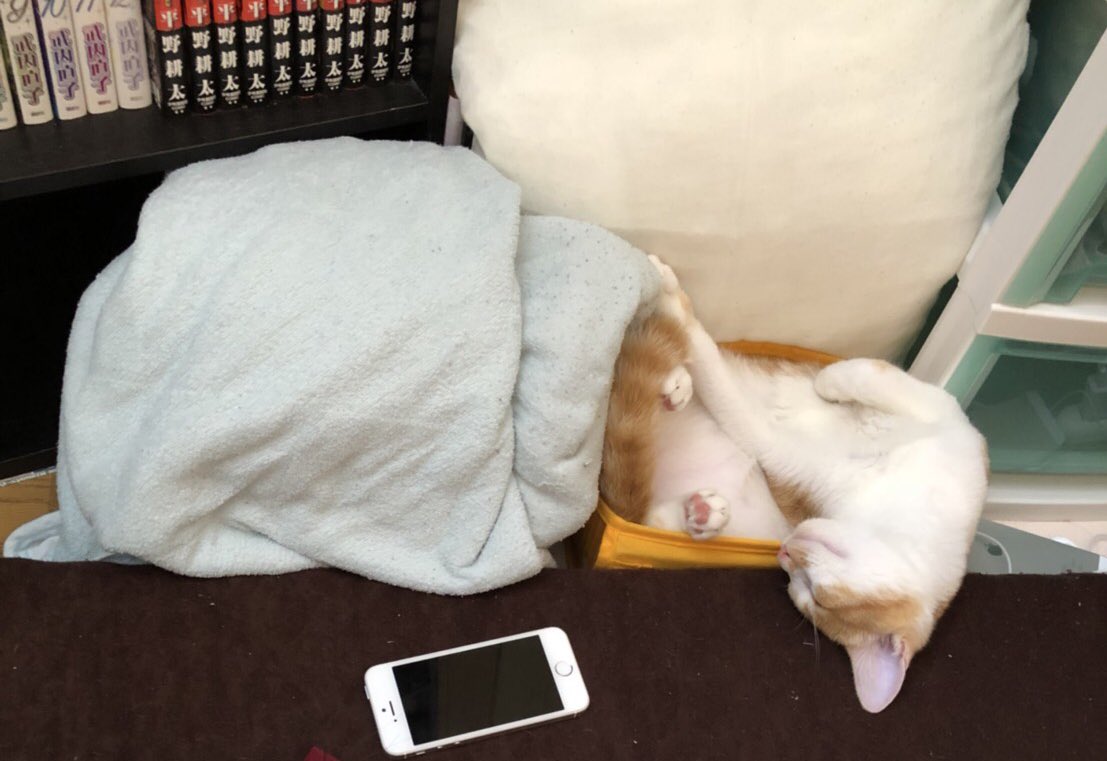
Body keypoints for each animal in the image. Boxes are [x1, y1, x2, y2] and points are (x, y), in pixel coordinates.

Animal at [600, 256, 989, 713]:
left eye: (811, 596)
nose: (785, 553)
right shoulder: (946, 417)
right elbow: (869, 374)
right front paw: (830, 381)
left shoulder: (776, 451)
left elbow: (718, 375)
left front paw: (675, 302)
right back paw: (674, 386)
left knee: (655, 516)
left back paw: (701, 513)